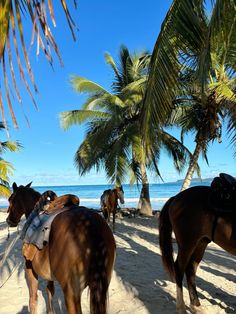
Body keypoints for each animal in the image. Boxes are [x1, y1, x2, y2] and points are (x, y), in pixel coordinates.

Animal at [5, 182, 116, 314]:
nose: (8, 220)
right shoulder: (49, 275)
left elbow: (33, 299)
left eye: (11, 199)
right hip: (101, 287)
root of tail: (91, 226)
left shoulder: (29, 267)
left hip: (71, 293)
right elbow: (49, 291)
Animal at [159, 174, 236, 314]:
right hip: (187, 244)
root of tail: (176, 198)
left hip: (200, 243)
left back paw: (196, 306)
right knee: (179, 268)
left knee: (190, 269)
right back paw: (182, 308)